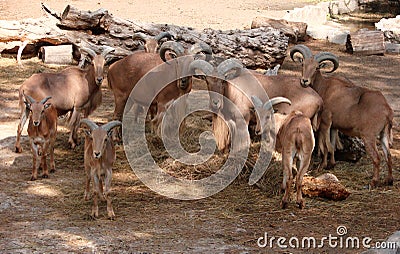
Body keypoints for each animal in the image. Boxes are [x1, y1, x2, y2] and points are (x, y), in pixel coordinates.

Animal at [290, 43, 394, 188]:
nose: (304, 81)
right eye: (303, 64)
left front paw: (322, 166)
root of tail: (387, 111)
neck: (325, 87)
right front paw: (332, 164)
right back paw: (389, 180)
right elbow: (333, 145)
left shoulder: (325, 123)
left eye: (317, 67)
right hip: (383, 134)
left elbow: (325, 145)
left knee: (377, 157)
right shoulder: (334, 126)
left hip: (369, 136)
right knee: (388, 155)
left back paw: (373, 182)